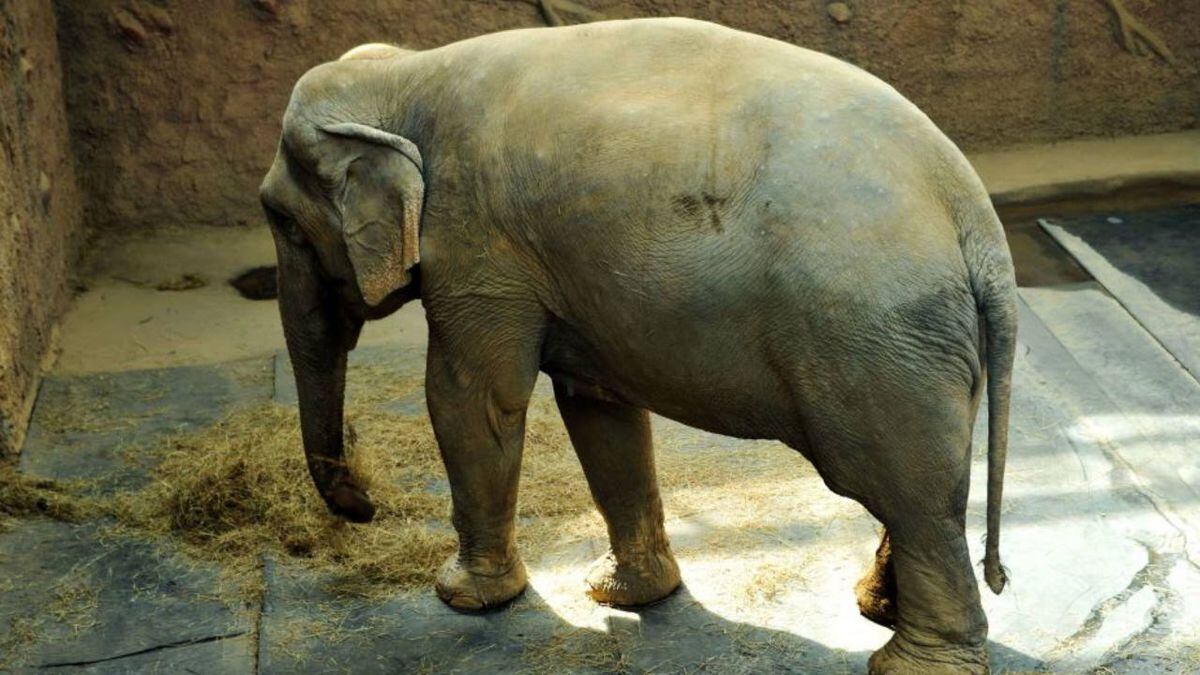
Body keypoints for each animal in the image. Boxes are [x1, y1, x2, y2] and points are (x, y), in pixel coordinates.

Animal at [259, 18, 1017, 674]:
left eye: (283, 224)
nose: (362, 505)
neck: (402, 74)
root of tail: (975, 219)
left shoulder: (477, 247)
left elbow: (473, 401)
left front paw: (464, 597)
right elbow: (598, 409)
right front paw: (625, 596)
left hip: (875, 338)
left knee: (906, 493)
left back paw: (910, 663)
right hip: (923, 347)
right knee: (927, 483)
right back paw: (877, 606)